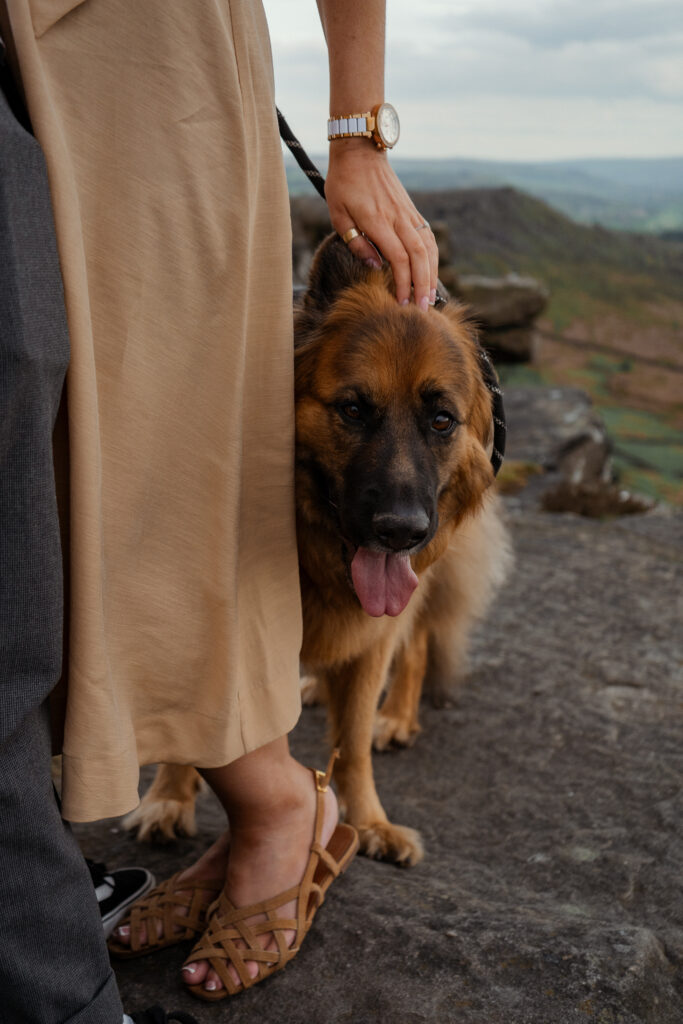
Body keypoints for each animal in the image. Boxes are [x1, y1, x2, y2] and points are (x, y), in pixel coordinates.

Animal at [125, 234, 511, 864]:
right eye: (353, 409)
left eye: (441, 420)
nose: (400, 531)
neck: (312, 553)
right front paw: (169, 798)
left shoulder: (378, 628)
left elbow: (350, 741)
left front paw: (370, 822)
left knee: (418, 642)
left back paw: (394, 715)